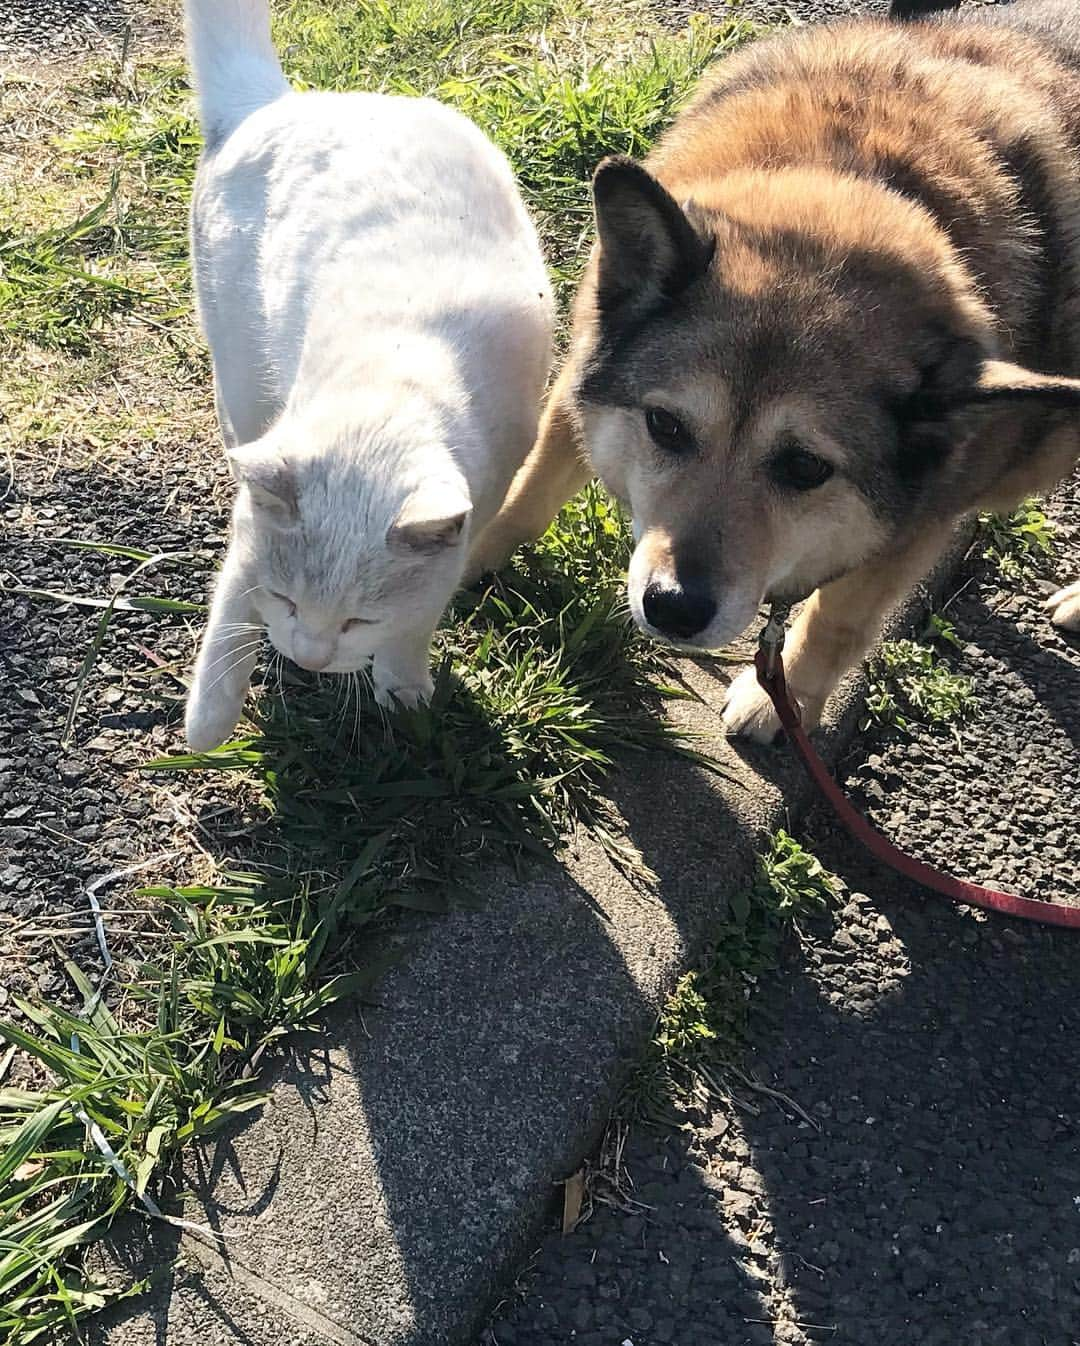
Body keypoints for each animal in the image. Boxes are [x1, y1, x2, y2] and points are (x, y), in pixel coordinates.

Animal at [183, 0, 546, 753]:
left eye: (358, 621)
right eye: (288, 601)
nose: (309, 658)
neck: (398, 379)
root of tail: (275, 101)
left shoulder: (488, 498)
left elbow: (422, 615)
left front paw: (403, 684)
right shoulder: (252, 530)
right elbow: (233, 602)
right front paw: (208, 721)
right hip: (240, 373)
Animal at [474, 0, 1080, 742]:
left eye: (804, 467)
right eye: (665, 426)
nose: (675, 608)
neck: (852, 188)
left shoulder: (914, 529)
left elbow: (835, 624)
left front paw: (780, 698)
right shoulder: (583, 371)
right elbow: (530, 488)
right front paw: (466, 567)